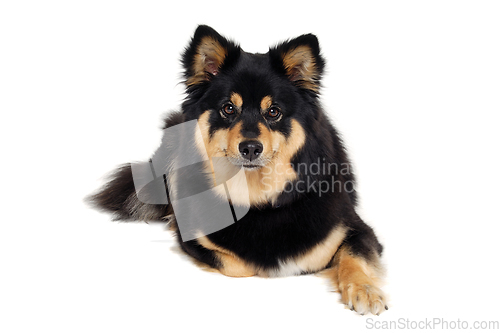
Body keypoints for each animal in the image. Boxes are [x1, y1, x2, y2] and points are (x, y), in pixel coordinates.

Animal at [89, 25, 386, 314]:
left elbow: (355, 257)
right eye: (228, 108)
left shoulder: (354, 228)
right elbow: (241, 264)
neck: (258, 198)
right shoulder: (198, 240)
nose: (251, 148)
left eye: (274, 111)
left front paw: (364, 290)